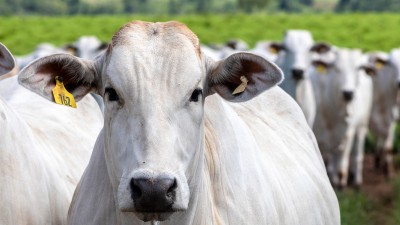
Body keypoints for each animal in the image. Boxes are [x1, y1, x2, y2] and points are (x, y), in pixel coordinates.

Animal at [310, 43, 374, 187]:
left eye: (358, 68)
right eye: (336, 68)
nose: (348, 93)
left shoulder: (347, 133)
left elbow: (342, 159)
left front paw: (341, 181)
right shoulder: (319, 133)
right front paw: (333, 179)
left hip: (362, 125)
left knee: (356, 153)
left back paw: (356, 179)